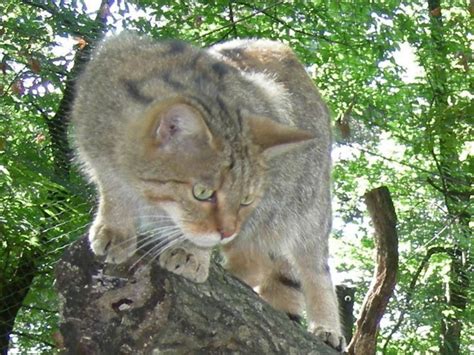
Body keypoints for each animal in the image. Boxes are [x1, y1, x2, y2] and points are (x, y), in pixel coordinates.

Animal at [70, 32, 344, 350]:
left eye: (245, 199)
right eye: (202, 193)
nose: (227, 231)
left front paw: (191, 253)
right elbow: (112, 188)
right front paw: (116, 227)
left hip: (307, 209)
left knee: (312, 268)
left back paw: (327, 326)